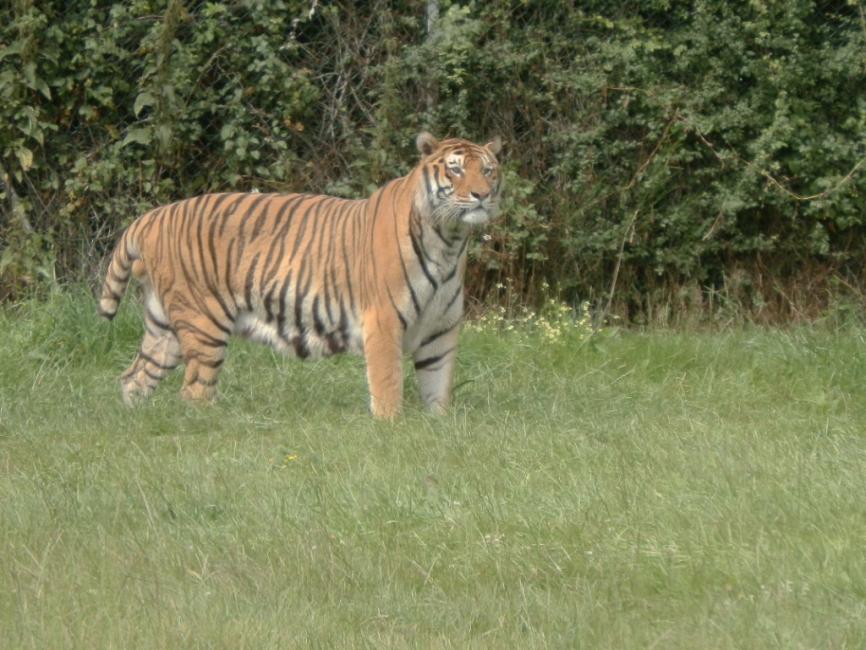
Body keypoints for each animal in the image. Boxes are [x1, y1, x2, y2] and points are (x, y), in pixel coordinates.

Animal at [97, 132, 502, 418]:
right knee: (194, 391)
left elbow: (438, 388)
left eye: (488, 170)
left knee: (133, 377)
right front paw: (391, 429)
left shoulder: (441, 330)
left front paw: (438, 426)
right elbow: (388, 386)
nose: (482, 195)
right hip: (203, 323)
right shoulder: (384, 322)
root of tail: (152, 216)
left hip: (165, 328)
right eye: (455, 169)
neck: (449, 242)